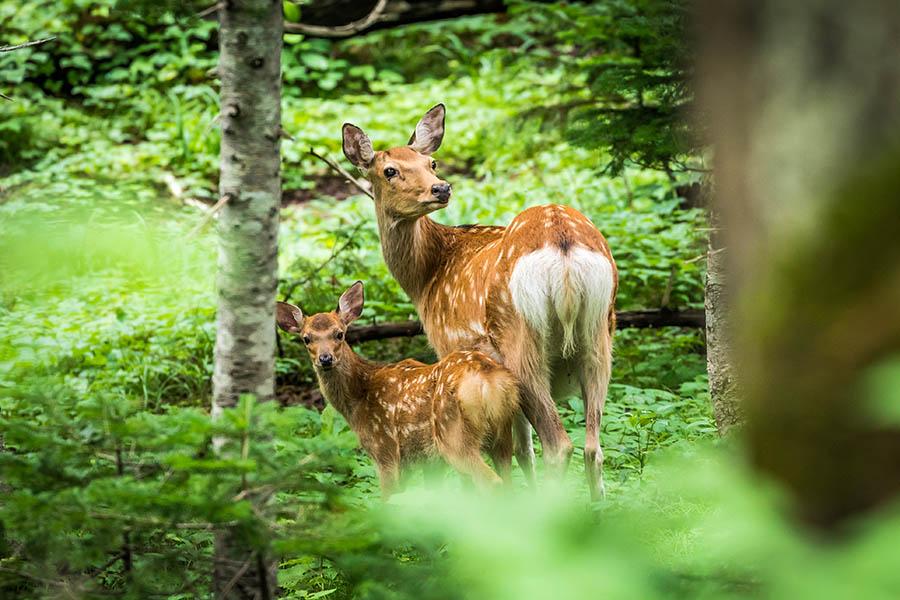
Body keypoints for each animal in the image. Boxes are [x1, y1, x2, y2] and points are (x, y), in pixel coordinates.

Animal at [275, 281, 519, 499]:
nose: (325, 359)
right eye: (306, 338)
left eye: (339, 334)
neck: (357, 399)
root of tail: (490, 380)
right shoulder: (426, 461)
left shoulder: (385, 448)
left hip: (453, 434)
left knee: (492, 483)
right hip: (502, 433)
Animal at [340, 104, 618, 499]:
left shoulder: (450, 349)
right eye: (389, 170)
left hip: (521, 343)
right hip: (600, 337)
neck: (427, 277)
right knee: (593, 447)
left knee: (558, 445)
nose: (441, 188)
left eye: (431, 162)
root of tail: (563, 244)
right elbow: (521, 450)